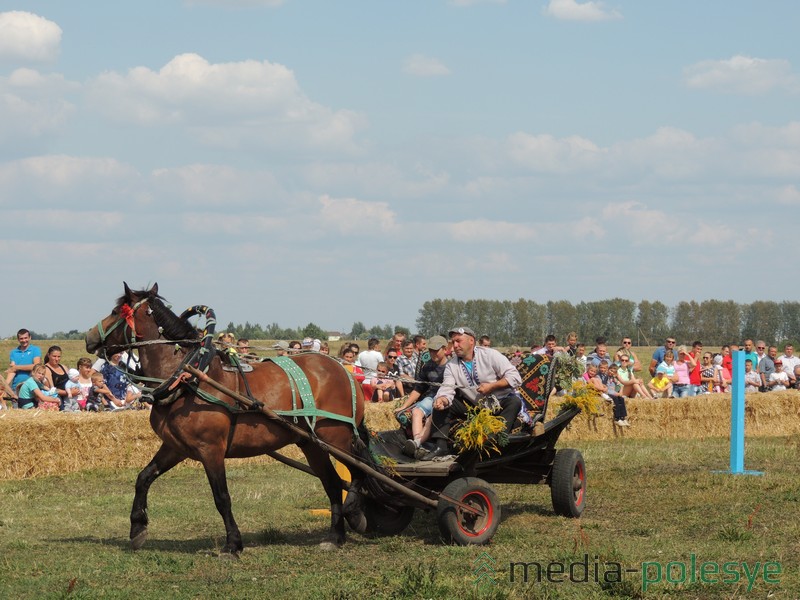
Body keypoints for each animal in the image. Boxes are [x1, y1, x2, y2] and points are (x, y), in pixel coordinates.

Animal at [83, 284, 366, 556]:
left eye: (116, 312)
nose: (89, 337)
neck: (189, 377)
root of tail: (344, 371)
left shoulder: (211, 449)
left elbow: (221, 497)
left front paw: (233, 543)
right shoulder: (175, 447)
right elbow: (144, 477)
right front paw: (137, 528)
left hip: (336, 437)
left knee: (358, 469)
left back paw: (354, 513)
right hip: (311, 443)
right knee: (332, 482)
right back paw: (335, 536)